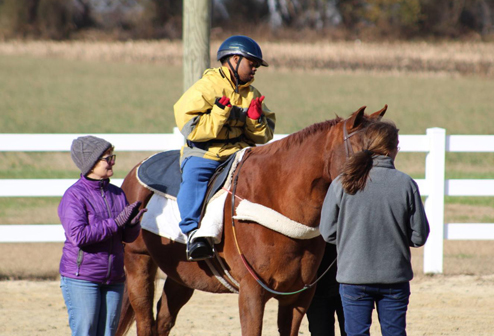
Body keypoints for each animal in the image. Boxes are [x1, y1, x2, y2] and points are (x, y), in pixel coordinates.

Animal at [115, 105, 386, 336]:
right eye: (365, 150)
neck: (277, 197)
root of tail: (136, 170)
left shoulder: (299, 297)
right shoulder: (251, 293)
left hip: (180, 276)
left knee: (163, 320)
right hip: (138, 263)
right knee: (145, 322)